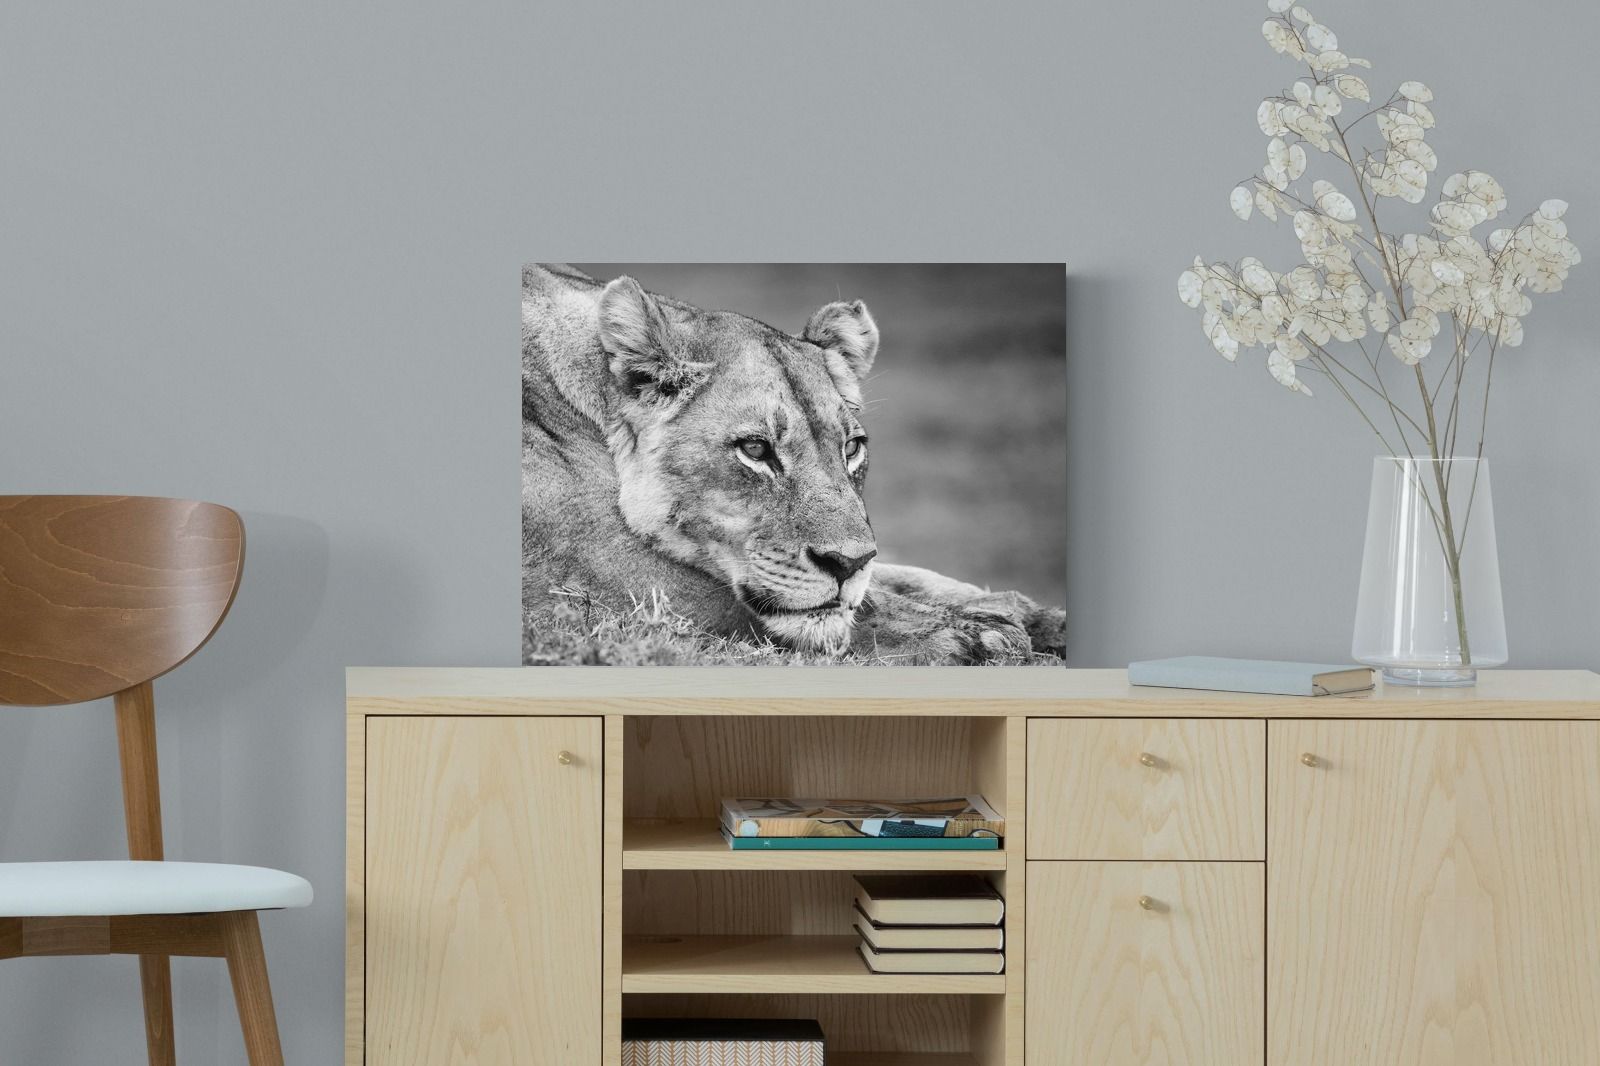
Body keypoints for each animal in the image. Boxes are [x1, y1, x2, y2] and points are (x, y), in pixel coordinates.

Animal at [522, 263, 1066, 664]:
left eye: (851, 448)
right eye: (755, 449)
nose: (846, 565)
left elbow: (902, 577)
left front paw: (1035, 617)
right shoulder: (608, 577)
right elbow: (851, 610)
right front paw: (977, 635)